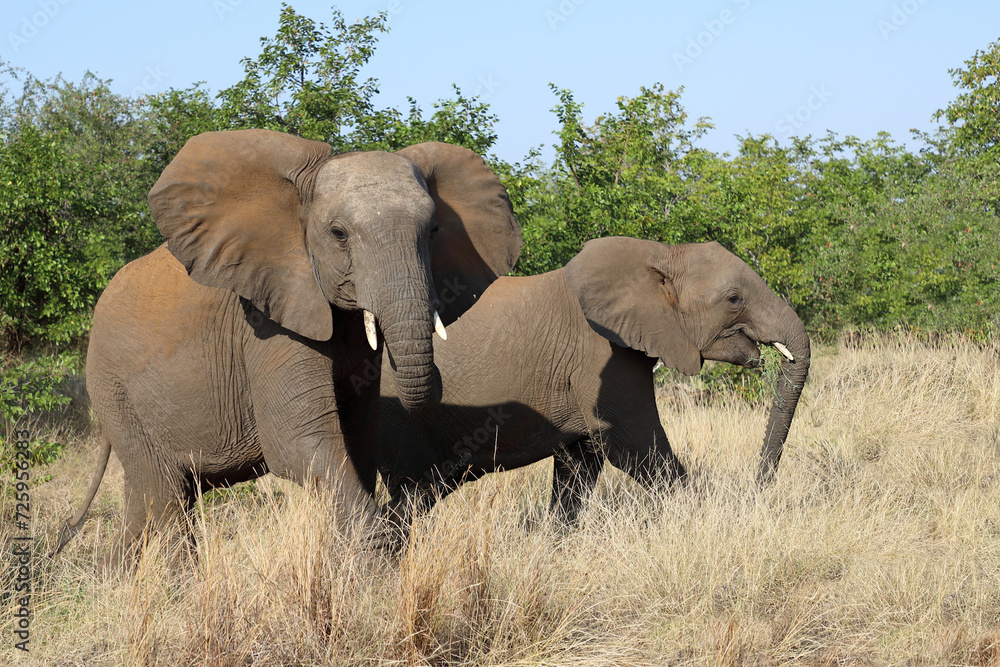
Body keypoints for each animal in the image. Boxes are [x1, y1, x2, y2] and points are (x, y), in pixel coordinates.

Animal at [56, 129, 521, 560]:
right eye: (338, 234)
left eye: (434, 231)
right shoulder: (266, 321)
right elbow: (300, 441)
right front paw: (376, 567)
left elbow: (358, 441)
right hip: (114, 390)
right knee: (163, 496)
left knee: (149, 502)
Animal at [375, 236, 810, 525]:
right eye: (735, 299)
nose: (758, 485)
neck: (658, 254)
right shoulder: (602, 356)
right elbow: (633, 445)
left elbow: (580, 463)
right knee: (409, 494)